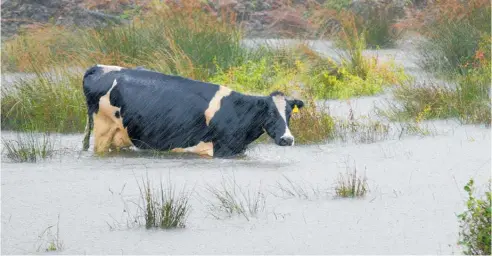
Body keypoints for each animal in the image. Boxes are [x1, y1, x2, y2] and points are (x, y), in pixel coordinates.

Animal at [81, 63, 304, 158]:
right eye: (270, 113)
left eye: (289, 114)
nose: (287, 139)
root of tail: (99, 67)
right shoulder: (222, 150)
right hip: (102, 130)